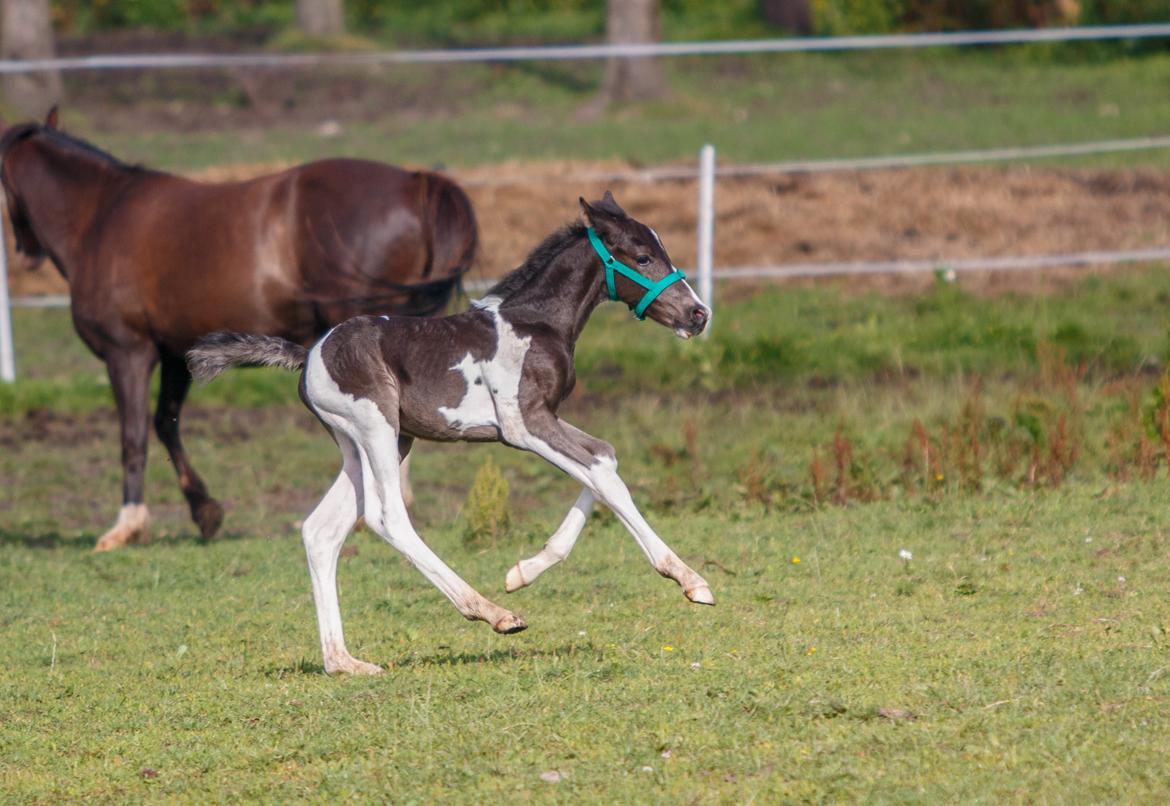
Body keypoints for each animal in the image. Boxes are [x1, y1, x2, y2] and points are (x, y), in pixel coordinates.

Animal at [1, 109, 475, 552]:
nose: (24, 253)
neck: (101, 217)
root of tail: (416, 181)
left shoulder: (128, 353)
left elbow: (133, 437)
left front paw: (128, 525)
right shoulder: (176, 356)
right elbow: (165, 424)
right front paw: (204, 511)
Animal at [189, 195, 711, 673]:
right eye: (642, 257)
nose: (699, 314)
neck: (535, 324)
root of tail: (307, 355)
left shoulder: (547, 417)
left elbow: (606, 456)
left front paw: (523, 571)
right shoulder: (524, 425)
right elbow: (605, 476)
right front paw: (689, 580)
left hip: (371, 443)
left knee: (321, 530)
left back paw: (345, 662)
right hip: (377, 428)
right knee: (386, 518)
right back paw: (493, 613)